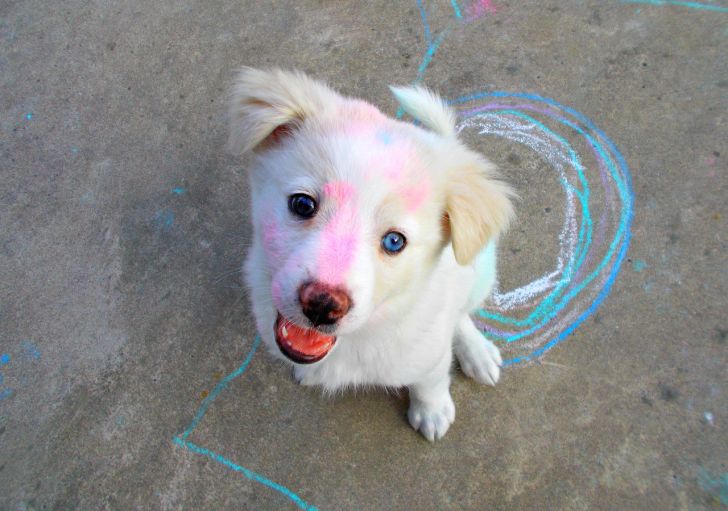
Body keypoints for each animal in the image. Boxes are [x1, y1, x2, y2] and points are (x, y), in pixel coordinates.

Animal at [225, 69, 516, 444]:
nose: (322, 305)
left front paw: (432, 411)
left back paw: (477, 353)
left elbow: (431, 380)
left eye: (394, 241)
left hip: (479, 273)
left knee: (461, 313)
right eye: (302, 204)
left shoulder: (429, 354)